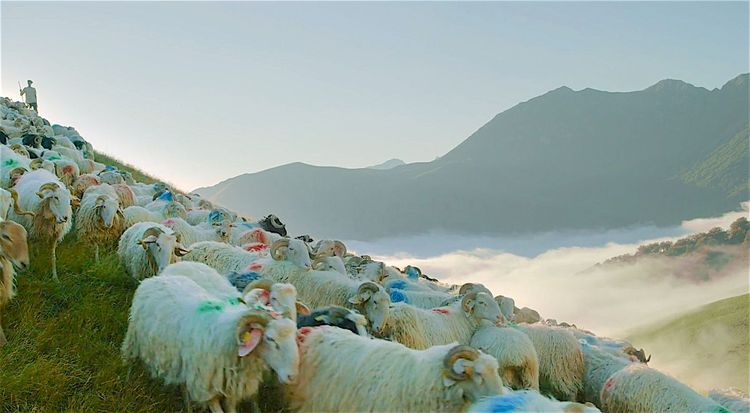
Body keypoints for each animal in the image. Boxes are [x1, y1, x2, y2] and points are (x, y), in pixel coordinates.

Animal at [122, 274, 300, 412]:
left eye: (294, 335)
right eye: (270, 338)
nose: (292, 376)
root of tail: (153, 279)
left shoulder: (231, 388)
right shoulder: (206, 388)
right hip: (134, 337)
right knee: (128, 356)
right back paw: (127, 378)